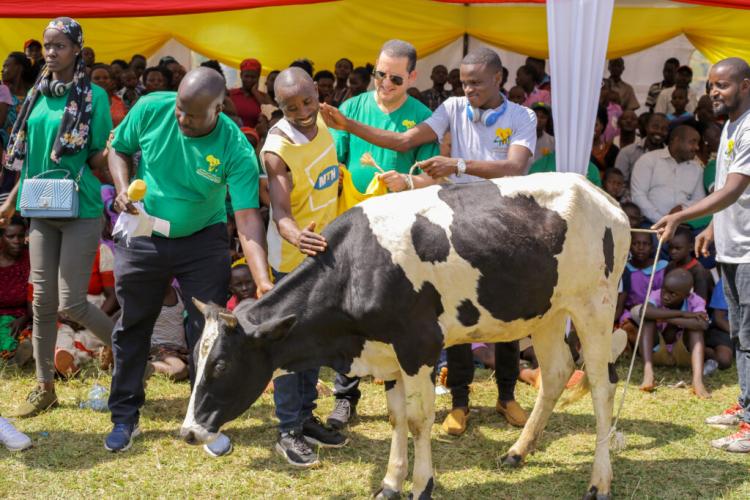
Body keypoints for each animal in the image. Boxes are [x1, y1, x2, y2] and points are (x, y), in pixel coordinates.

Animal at [185, 173, 632, 500]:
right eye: (196, 358)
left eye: (221, 365)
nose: (189, 431)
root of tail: (597, 192)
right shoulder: (387, 353)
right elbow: (397, 418)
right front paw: (389, 483)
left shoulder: (419, 346)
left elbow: (419, 420)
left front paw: (421, 485)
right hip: (547, 312)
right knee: (556, 374)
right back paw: (517, 451)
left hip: (595, 304)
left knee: (601, 385)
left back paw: (599, 481)